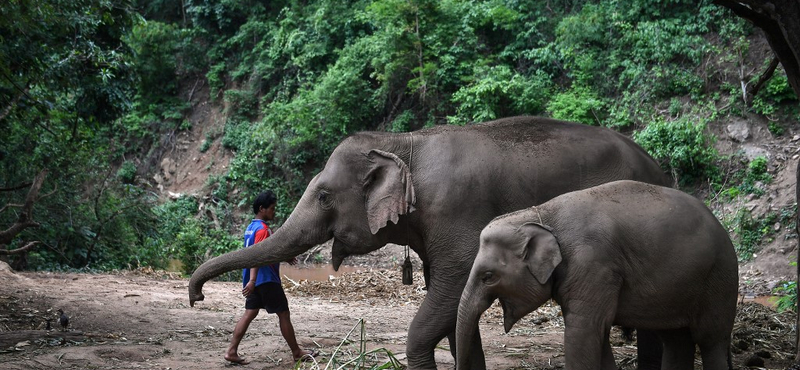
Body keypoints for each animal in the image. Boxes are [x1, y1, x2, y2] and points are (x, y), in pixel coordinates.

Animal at [188, 115, 668, 368]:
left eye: (323, 195)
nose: (196, 296)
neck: (404, 144)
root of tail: (660, 168)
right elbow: (452, 300)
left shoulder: (457, 212)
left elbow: (450, 294)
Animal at [456, 180, 736, 370]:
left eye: (488, 276)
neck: (541, 214)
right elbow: (597, 334)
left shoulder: (593, 267)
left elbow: (583, 331)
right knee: (676, 341)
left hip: (719, 279)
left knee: (710, 339)